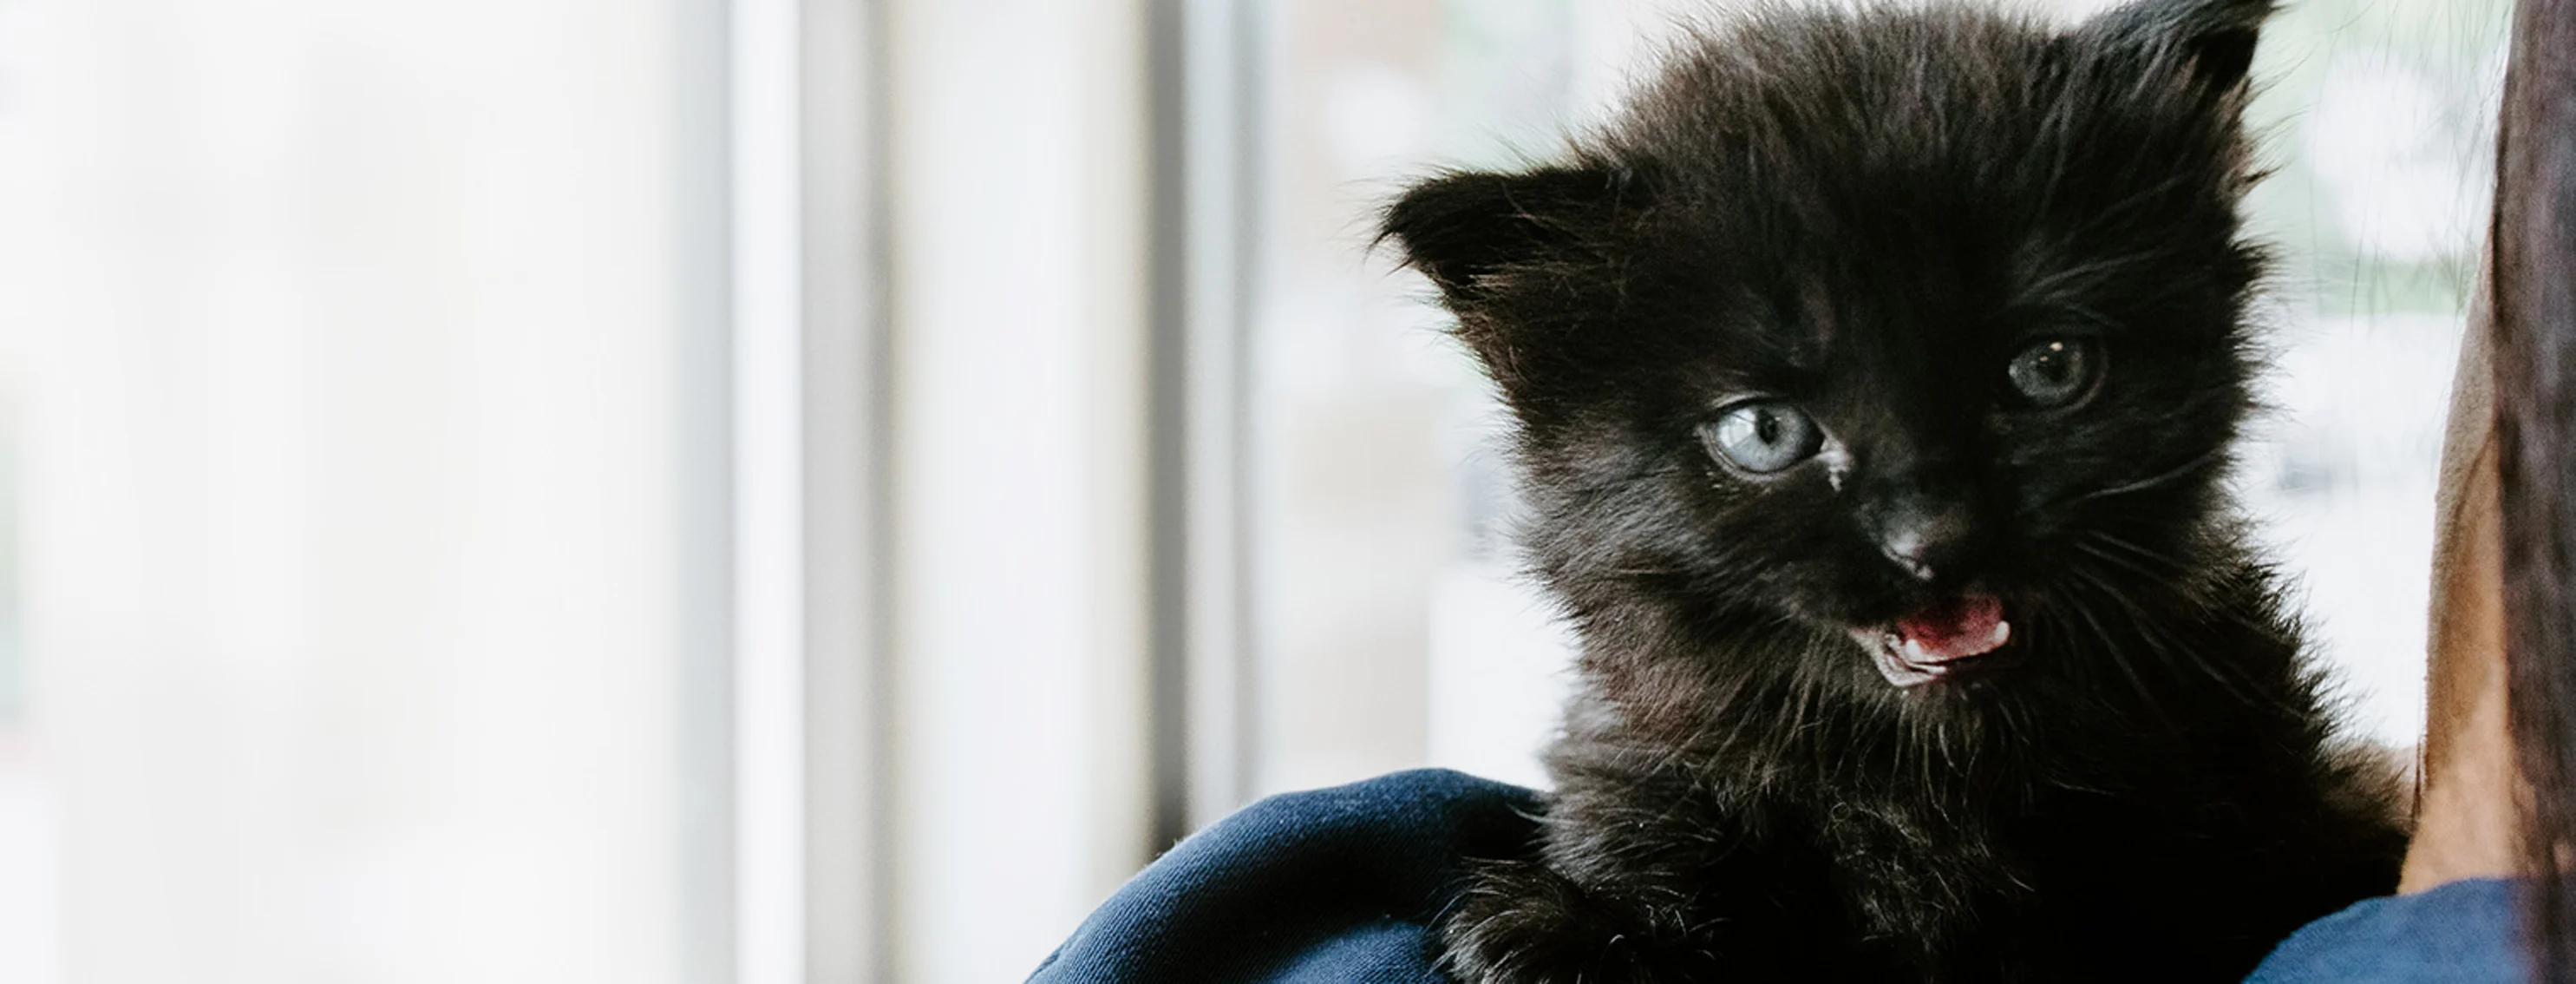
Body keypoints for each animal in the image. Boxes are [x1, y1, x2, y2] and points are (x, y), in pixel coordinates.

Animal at [1390, 2, 2410, 984]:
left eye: (2048, 367)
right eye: (1764, 433)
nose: (1935, 538)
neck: (1930, 792)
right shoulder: (1642, 767)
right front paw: (1575, 931)